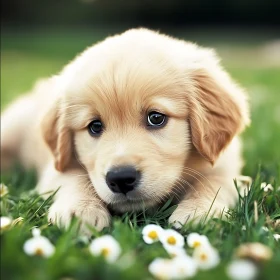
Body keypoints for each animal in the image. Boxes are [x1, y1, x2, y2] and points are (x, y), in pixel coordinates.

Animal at [0, 28, 249, 232]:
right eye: (95, 126)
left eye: (156, 118)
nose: (121, 179)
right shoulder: (57, 166)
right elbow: (73, 178)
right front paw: (81, 210)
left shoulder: (228, 169)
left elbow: (216, 183)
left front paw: (199, 211)